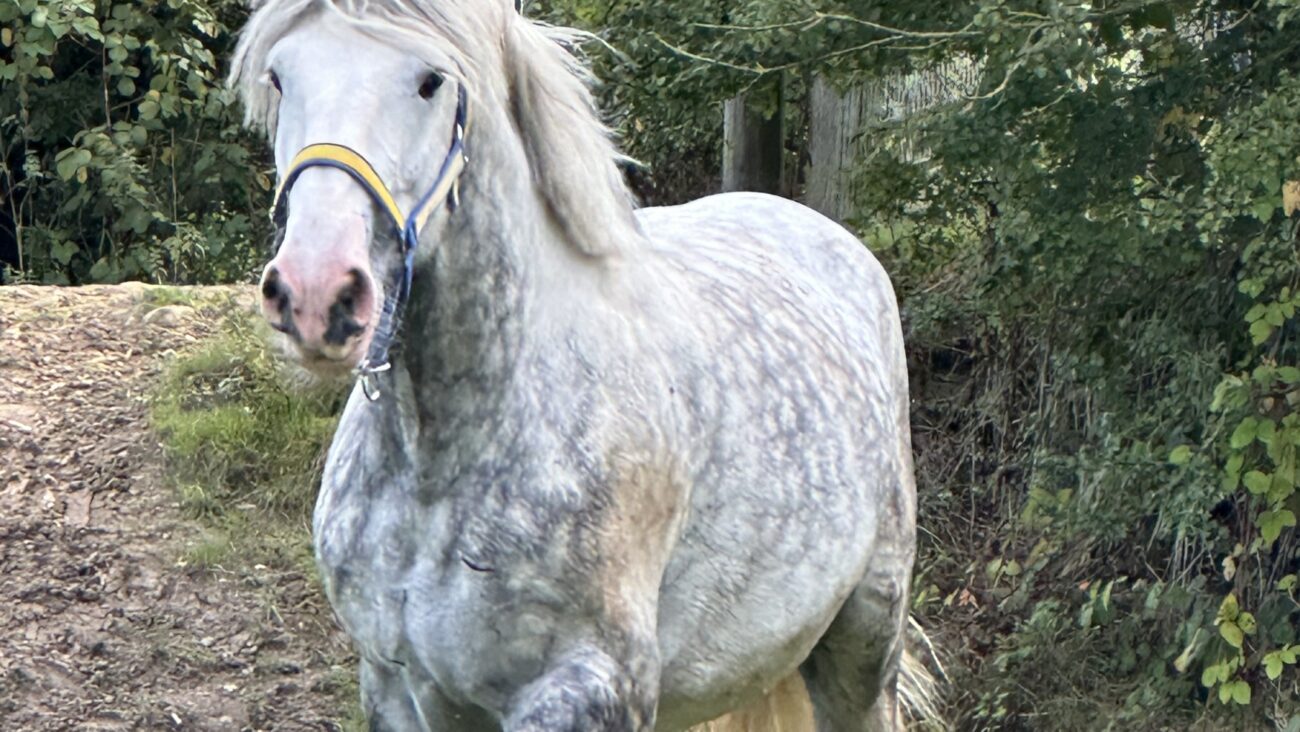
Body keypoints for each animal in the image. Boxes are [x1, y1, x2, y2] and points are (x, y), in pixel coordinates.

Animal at [228, 2, 930, 728]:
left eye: (430, 81)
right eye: (279, 76)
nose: (317, 295)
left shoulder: (583, 691)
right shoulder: (400, 688)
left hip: (864, 641)